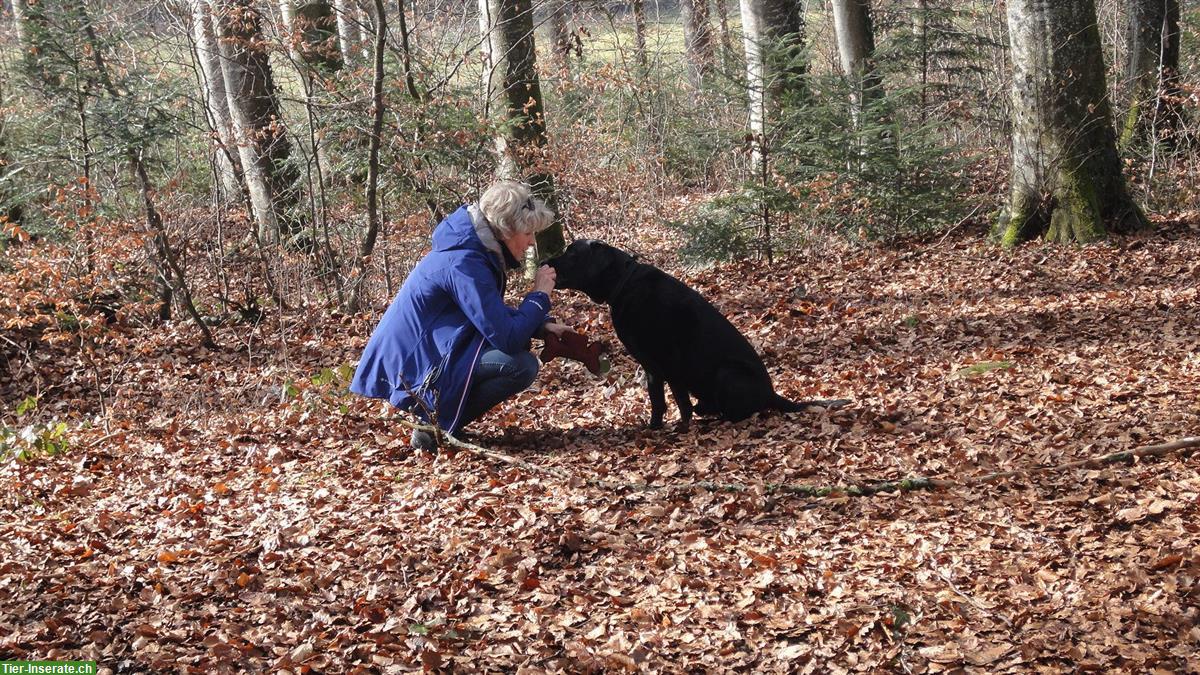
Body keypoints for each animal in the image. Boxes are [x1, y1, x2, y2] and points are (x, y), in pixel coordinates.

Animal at [544, 239, 844, 427]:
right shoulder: (651, 367)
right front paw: (654, 427)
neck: (624, 283)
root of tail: (772, 394)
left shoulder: (668, 361)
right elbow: (658, 400)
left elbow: (678, 401)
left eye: (572, 253)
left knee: (739, 412)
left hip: (727, 373)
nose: (545, 261)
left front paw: (678, 427)